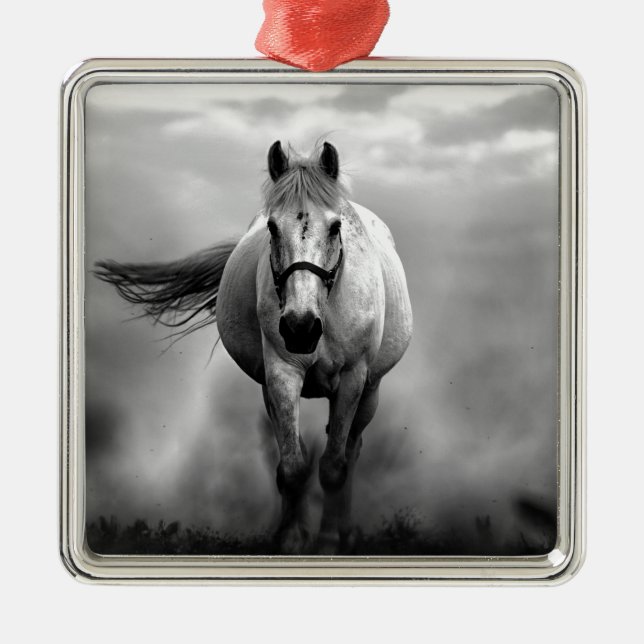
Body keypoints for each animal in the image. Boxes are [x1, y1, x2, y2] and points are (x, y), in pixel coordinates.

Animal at [95, 141, 413, 554]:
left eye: (335, 226)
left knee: (351, 451)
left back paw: (344, 532)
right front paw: (290, 540)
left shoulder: (351, 379)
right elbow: (293, 467)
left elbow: (333, 467)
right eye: (273, 228)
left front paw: (327, 543)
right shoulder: (280, 374)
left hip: (370, 392)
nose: (300, 328)